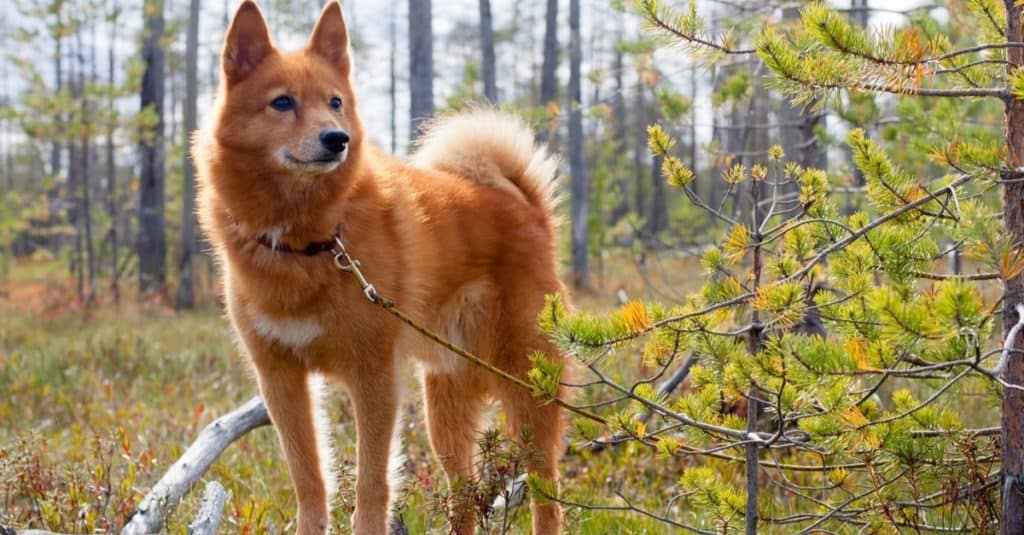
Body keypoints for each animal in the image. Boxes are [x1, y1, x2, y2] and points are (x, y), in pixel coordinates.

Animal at [193, 2, 569, 528]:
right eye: (282, 102)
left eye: (334, 102)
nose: (337, 139)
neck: (310, 241)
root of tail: (525, 208)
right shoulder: (281, 380)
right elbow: (309, 481)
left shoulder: (373, 377)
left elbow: (371, 483)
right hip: (445, 405)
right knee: (464, 494)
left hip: (525, 388)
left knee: (546, 491)